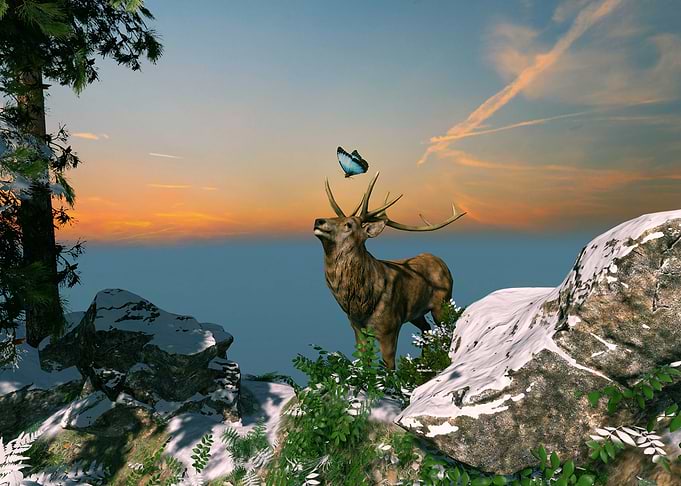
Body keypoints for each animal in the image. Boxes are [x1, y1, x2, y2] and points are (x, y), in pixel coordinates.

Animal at [313, 172, 465, 369]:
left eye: (349, 224)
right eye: (334, 217)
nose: (318, 220)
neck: (360, 300)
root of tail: (443, 263)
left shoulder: (390, 326)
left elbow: (389, 366)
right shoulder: (357, 327)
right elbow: (363, 363)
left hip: (443, 303)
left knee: (447, 329)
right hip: (416, 312)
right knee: (426, 329)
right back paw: (424, 362)